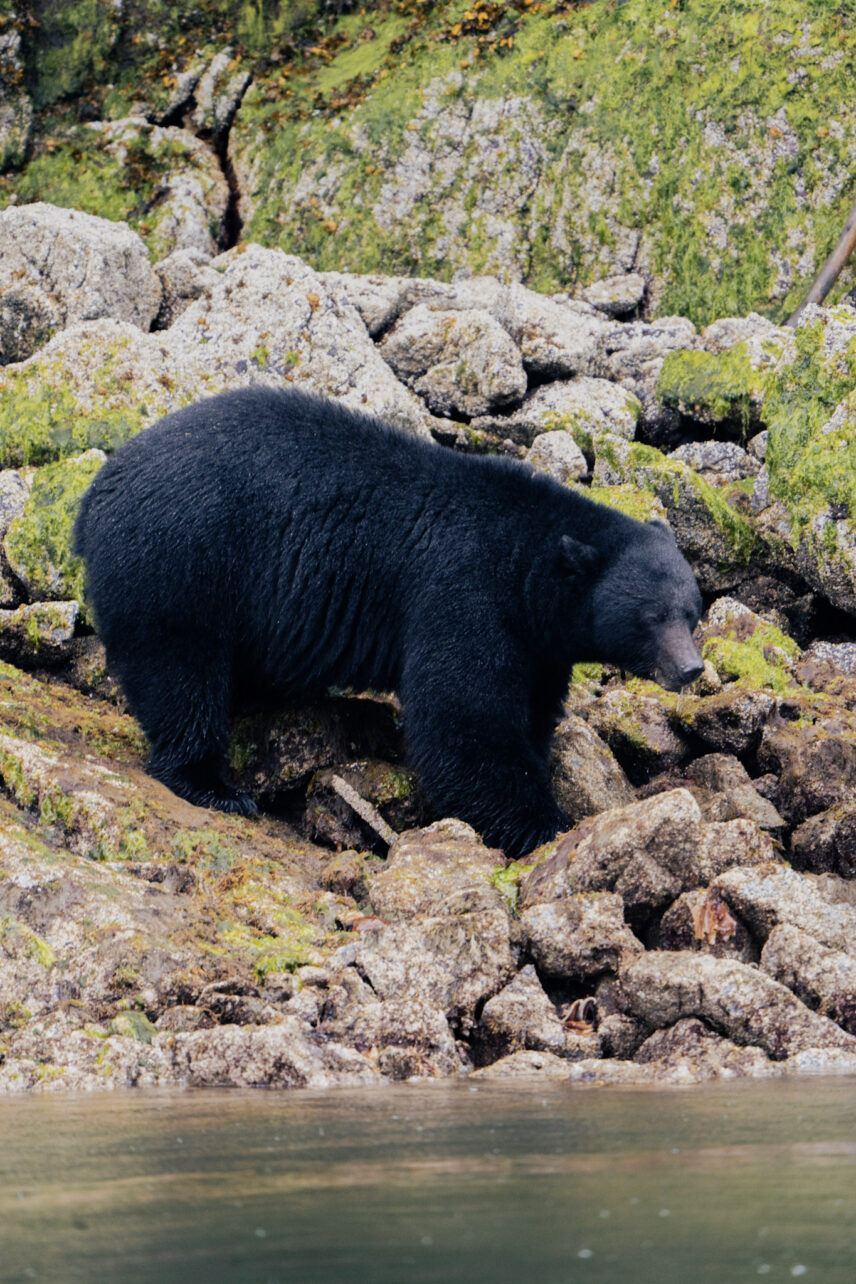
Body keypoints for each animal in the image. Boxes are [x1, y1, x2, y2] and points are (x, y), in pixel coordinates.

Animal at [74, 386, 703, 860]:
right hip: (185, 560)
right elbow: (464, 716)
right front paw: (543, 826)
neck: (527, 564)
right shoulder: (463, 593)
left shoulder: (539, 646)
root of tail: (98, 488)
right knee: (180, 672)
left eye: (692, 612)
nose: (692, 669)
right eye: (652, 617)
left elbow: (530, 711)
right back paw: (213, 784)